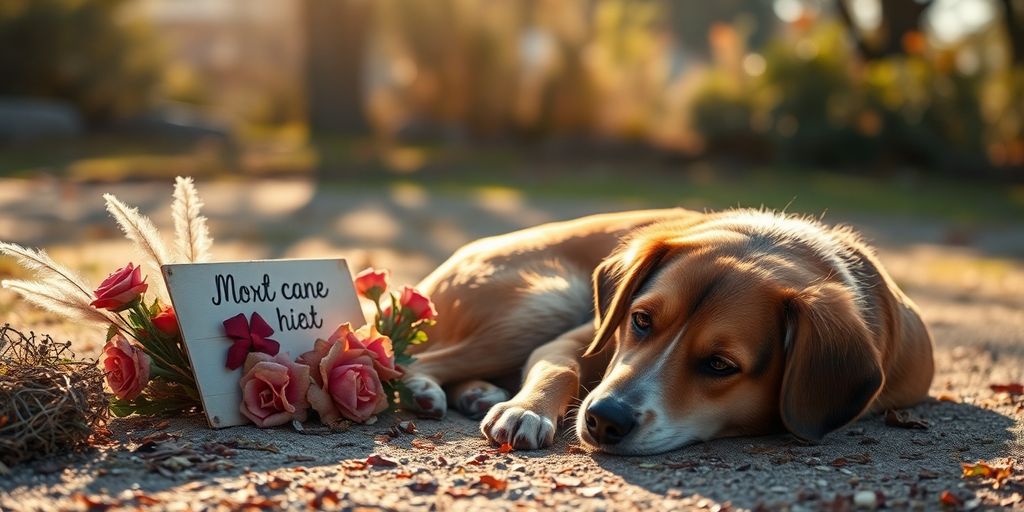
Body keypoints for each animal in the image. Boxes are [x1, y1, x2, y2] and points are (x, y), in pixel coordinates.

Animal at [401, 207, 937, 456]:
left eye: (720, 365)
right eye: (640, 320)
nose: (603, 420)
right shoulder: (573, 339)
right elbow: (561, 370)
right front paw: (526, 410)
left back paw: (474, 392)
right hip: (547, 301)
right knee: (415, 359)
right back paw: (430, 389)